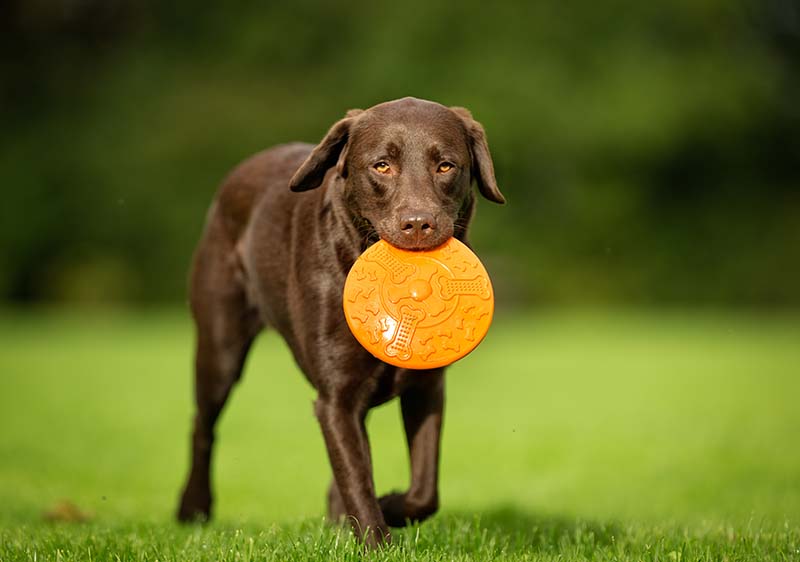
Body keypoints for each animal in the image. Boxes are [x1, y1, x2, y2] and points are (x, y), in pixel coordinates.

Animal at [177, 96, 504, 544]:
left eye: (445, 166)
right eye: (382, 165)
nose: (419, 223)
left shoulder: (426, 388)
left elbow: (423, 491)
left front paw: (390, 505)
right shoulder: (336, 398)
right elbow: (356, 478)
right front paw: (376, 538)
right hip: (220, 346)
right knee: (202, 424)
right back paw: (193, 508)